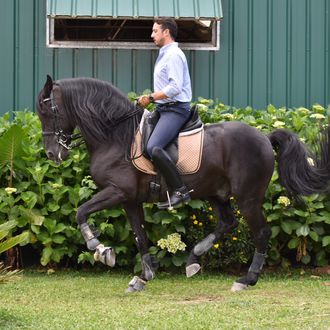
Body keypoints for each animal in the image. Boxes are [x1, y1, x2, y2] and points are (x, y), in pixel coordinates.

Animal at [36, 76, 330, 292]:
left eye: (47, 112)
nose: (52, 154)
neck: (115, 136)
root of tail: (264, 138)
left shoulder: (117, 192)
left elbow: (81, 212)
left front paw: (100, 249)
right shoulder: (130, 200)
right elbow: (140, 237)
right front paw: (143, 277)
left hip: (248, 198)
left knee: (261, 233)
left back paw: (247, 279)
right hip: (217, 194)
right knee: (227, 223)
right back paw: (193, 259)